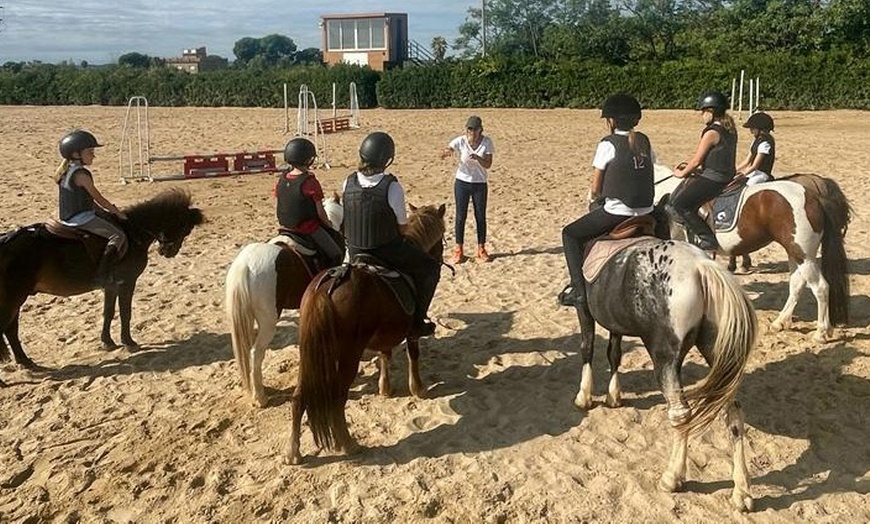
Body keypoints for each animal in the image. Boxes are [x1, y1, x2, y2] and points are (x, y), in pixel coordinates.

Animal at [0, 187, 206, 380]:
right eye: (184, 228)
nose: (169, 251)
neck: (132, 232)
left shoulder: (111, 286)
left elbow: (108, 312)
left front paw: (107, 342)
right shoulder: (127, 282)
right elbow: (125, 312)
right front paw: (128, 342)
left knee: (11, 330)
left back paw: (26, 362)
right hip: (13, 299)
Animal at [288, 203, 450, 464]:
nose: (440, 257)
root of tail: (325, 290)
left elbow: (385, 355)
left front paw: (385, 388)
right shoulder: (411, 331)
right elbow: (413, 354)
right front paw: (418, 388)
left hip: (310, 354)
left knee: (298, 397)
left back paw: (293, 451)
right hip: (346, 357)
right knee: (336, 399)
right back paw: (348, 444)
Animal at [572, 235, 756, 510]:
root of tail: (700, 266)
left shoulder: (584, 310)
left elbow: (587, 346)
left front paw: (584, 397)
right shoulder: (615, 320)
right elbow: (614, 352)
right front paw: (613, 397)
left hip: (665, 359)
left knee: (680, 414)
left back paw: (672, 477)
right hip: (718, 354)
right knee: (733, 413)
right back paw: (741, 492)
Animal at [656, 166, 852, 342]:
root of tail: (814, 197)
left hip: (803, 255)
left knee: (821, 288)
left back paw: (821, 333)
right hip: (795, 253)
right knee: (797, 284)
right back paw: (780, 322)